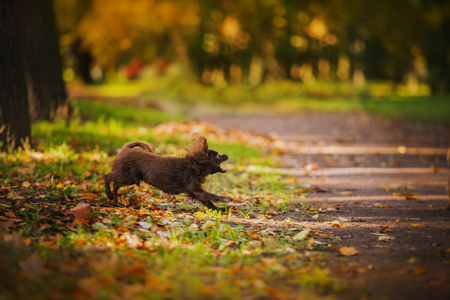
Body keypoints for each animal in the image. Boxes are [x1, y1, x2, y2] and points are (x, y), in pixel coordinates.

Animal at [104, 135, 232, 210]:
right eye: (218, 156)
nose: (227, 154)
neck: (195, 165)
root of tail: (126, 149)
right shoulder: (196, 190)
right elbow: (212, 196)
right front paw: (227, 199)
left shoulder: (196, 192)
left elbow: (208, 201)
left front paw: (219, 209)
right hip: (125, 176)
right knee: (106, 177)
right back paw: (109, 194)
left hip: (130, 179)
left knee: (115, 185)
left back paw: (115, 200)